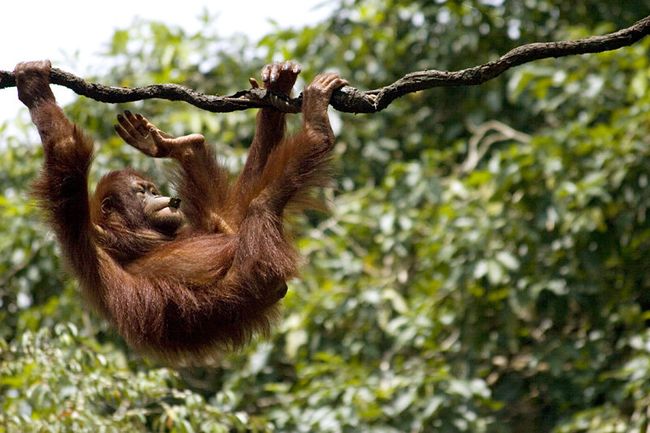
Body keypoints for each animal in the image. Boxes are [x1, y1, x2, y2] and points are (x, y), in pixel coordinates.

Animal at [15, 59, 347, 364]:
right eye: (142, 192)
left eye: (152, 189)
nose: (159, 195)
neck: (131, 234)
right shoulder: (87, 231)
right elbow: (67, 150)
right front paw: (35, 88)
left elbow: (226, 222)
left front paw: (276, 85)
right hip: (249, 277)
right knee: (261, 205)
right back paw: (317, 130)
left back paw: (191, 143)